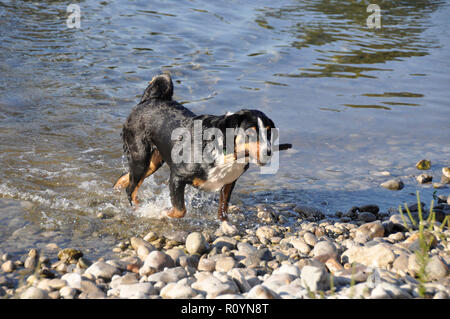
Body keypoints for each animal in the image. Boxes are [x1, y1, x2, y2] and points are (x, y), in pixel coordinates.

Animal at [114, 74, 292, 221]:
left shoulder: (229, 182)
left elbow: (223, 208)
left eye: (268, 132)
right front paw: (162, 212)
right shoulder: (177, 176)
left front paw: (225, 225)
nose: (268, 152)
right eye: (250, 133)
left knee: (125, 178)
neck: (226, 152)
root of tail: (148, 100)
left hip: (153, 162)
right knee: (131, 189)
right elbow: (180, 209)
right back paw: (138, 209)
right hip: (141, 158)